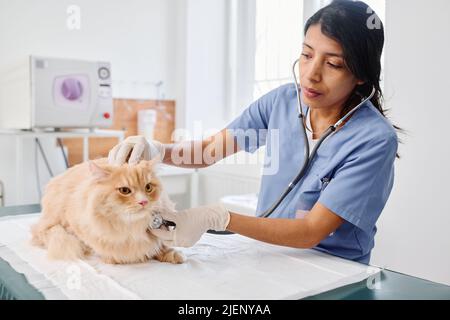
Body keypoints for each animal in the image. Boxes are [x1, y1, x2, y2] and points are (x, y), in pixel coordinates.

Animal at [31, 158, 185, 264]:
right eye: (125, 190)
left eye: (148, 187)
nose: (143, 202)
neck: (132, 227)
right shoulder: (74, 226)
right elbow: (91, 244)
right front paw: (112, 257)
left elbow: (161, 245)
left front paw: (172, 254)